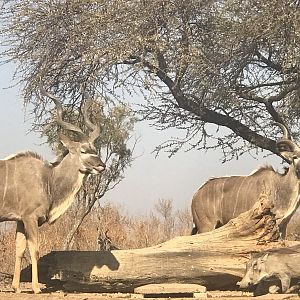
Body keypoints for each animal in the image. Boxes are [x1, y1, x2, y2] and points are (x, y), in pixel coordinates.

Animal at [0, 87, 105, 292]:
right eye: (83, 151)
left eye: (95, 149)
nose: (101, 166)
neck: (47, 179)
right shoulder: (30, 218)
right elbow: (35, 250)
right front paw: (36, 287)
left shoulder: (20, 220)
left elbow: (19, 250)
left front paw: (16, 287)